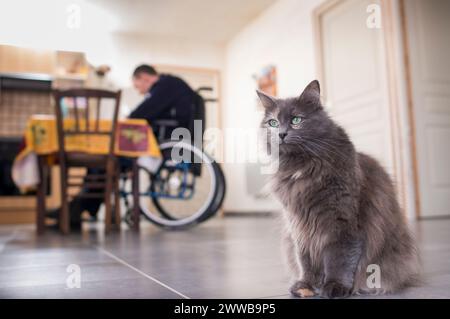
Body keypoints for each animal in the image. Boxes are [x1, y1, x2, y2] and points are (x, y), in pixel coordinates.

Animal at [258, 80, 420, 300]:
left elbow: (339, 259)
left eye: (296, 119)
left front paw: (335, 287)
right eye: (273, 123)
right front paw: (306, 286)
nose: (281, 134)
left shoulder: (343, 223)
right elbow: (305, 260)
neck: (301, 167)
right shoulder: (299, 226)